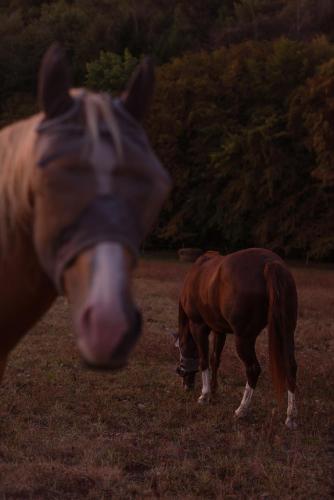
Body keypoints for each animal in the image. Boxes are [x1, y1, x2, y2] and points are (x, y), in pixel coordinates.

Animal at [175, 248, 298, 428]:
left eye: (181, 351)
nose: (186, 385)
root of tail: (270, 263)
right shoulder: (219, 330)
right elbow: (215, 359)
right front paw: (214, 391)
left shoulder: (198, 326)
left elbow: (204, 360)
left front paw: (205, 395)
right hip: (287, 332)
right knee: (290, 366)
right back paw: (291, 416)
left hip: (244, 339)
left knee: (253, 369)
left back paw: (242, 410)